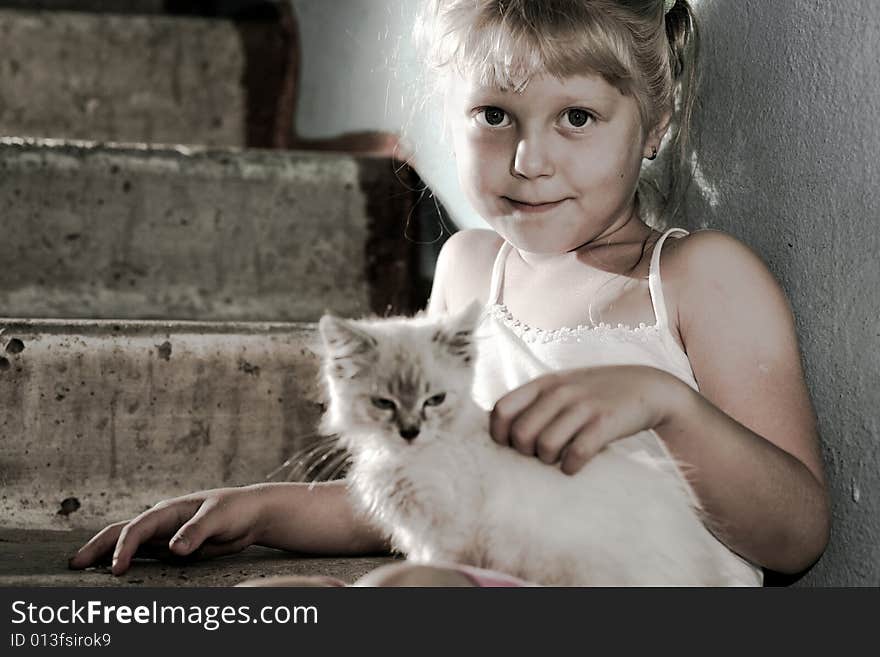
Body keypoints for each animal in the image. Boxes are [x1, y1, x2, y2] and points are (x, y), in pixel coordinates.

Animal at [316, 302, 748, 584]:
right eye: (384, 403)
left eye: (433, 401)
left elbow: (435, 563)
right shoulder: (420, 533)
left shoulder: (449, 534)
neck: (408, 460)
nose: (409, 431)